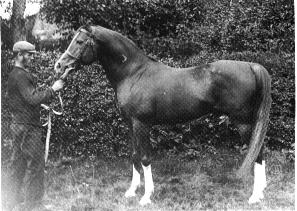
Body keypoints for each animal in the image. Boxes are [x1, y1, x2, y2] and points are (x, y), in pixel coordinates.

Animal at [55, 24, 270, 204]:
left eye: (79, 41)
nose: (59, 65)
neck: (133, 73)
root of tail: (251, 65)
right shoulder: (130, 124)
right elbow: (134, 155)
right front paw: (131, 192)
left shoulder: (141, 124)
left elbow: (145, 158)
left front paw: (146, 197)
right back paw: (260, 193)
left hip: (242, 123)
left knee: (256, 153)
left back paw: (255, 197)